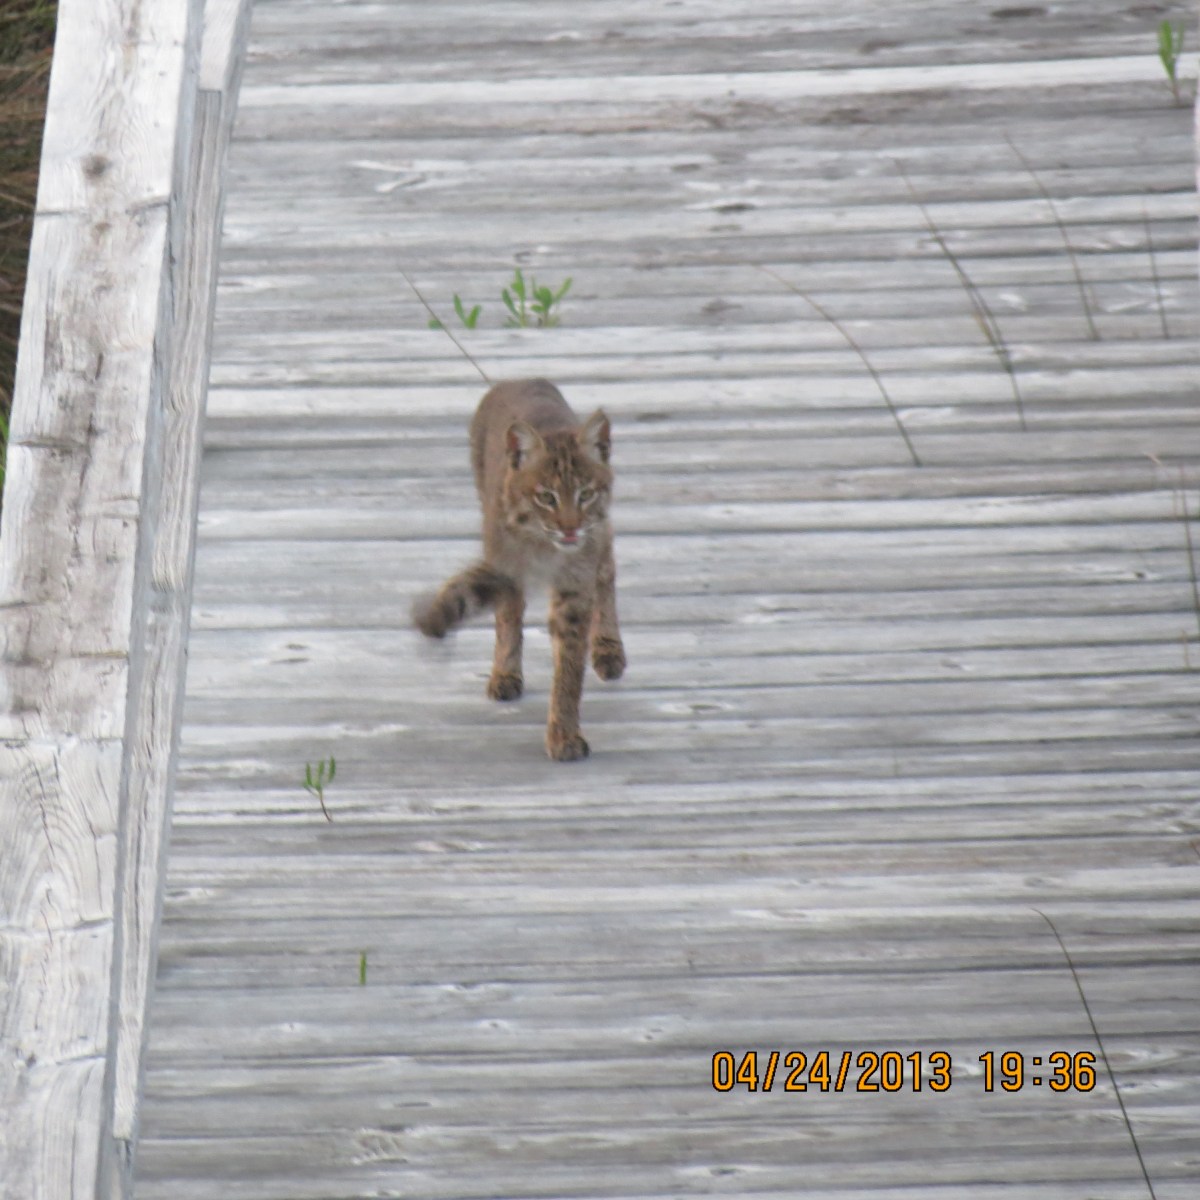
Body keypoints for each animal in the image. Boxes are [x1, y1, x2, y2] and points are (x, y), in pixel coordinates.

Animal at [413, 378, 626, 761]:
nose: (570, 529)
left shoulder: (575, 585)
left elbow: (569, 667)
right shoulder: (504, 564)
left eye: (585, 494)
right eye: (546, 497)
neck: (545, 545)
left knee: (607, 572)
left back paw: (608, 649)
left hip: (600, 539)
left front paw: (563, 734)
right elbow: (502, 614)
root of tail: (521, 379)